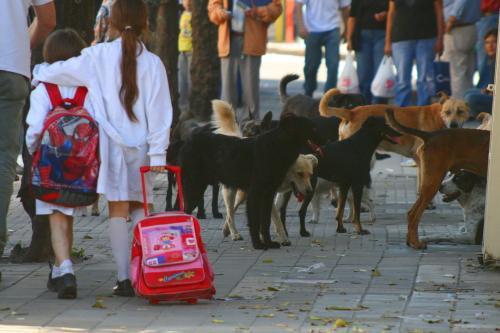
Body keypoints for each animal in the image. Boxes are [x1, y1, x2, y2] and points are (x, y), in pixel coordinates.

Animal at [179, 113, 324, 248]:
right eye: (313, 128)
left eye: (310, 175)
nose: (326, 140)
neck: (276, 147)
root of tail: (188, 141)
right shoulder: (255, 194)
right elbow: (255, 222)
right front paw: (258, 245)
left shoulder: (268, 195)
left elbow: (265, 222)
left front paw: (269, 243)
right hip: (195, 189)